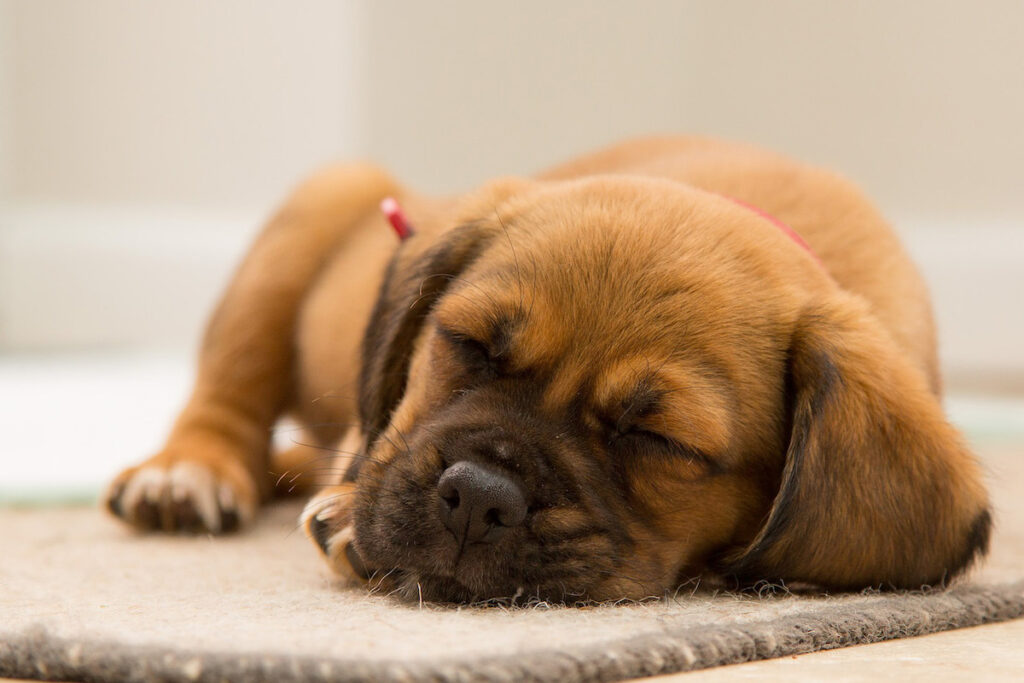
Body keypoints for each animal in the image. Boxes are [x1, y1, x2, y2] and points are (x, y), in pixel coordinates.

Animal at [105, 136, 991, 602]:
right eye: (468, 345)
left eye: (658, 439)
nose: (478, 497)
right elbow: (374, 437)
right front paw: (351, 505)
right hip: (312, 216)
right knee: (229, 396)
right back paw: (188, 470)